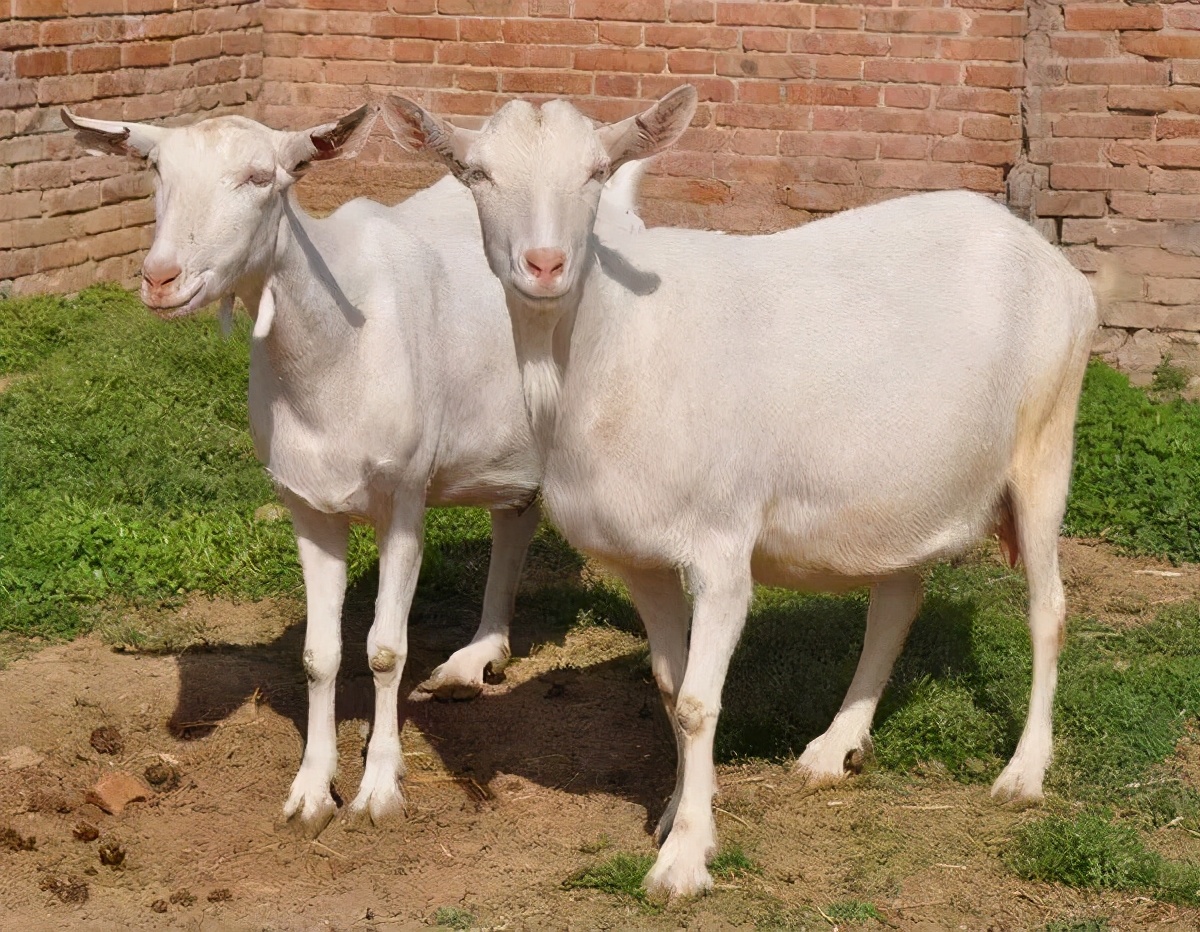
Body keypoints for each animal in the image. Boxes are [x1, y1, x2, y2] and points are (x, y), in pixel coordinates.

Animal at [63, 105, 648, 834]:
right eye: (154, 169)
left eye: (262, 177)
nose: (161, 279)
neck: (337, 349)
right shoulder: (306, 503)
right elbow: (320, 656)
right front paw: (311, 792)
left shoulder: (405, 495)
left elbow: (385, 648)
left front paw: (379, 789)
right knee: (514, 516)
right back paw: (475, 659)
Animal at [384, 85, 1099, 892]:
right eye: (476, 174)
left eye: (598, 171)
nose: (544, 264)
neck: (617, 343)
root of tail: (1051, 260)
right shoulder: (641, 558)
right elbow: (670, 690)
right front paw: (675, 811)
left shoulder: (722, 545)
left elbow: (699, 702)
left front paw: (685, 858)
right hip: (903, 488)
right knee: (897, 601)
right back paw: (835, 746)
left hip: (1046, 438)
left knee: (1049, 611)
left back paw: (1023, 772)